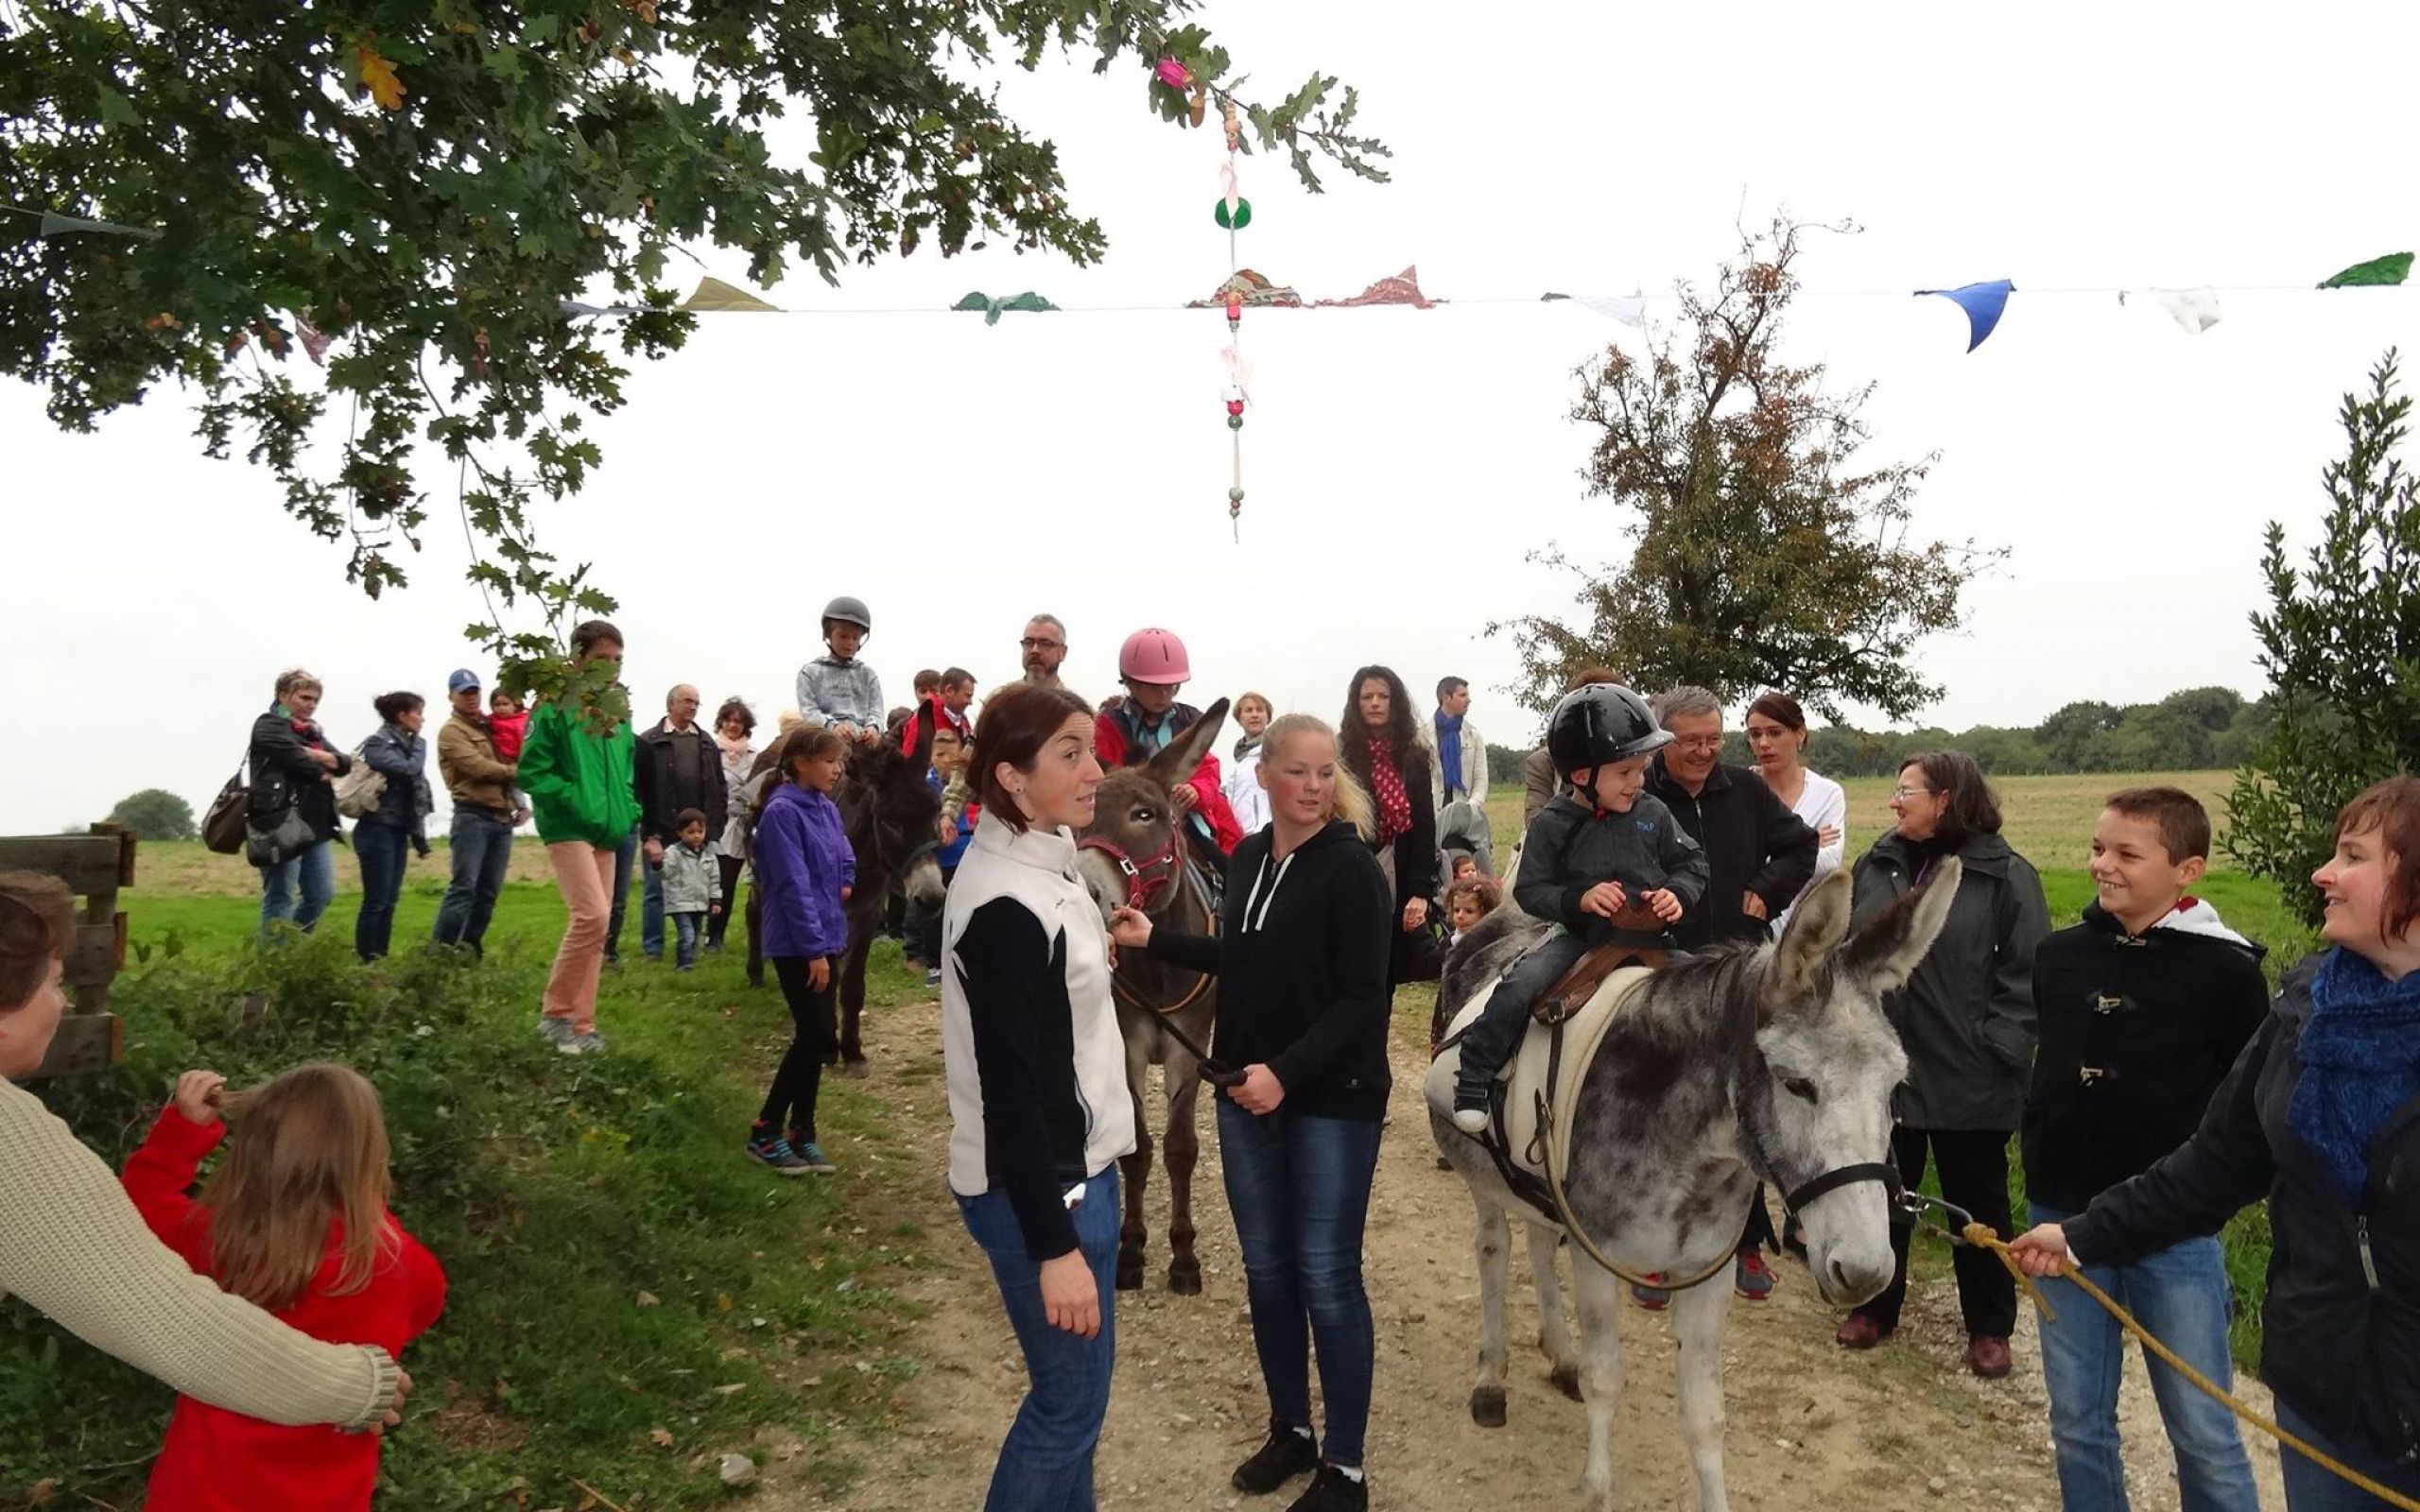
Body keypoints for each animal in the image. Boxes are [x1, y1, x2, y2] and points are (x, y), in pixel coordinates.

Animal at [1073, 698, 1229, 1294]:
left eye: (1146, 814)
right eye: (1079, 817)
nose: (1085, 893)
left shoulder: (1189, 1049)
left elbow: (1180, 1149)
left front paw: (1183, 1257)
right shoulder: (1129, 1047)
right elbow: (1136, 1149)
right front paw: (1132, 1251)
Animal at [1428, 861, 1961, 1512]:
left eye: (1895, 1086)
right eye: (1797, 1084)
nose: (1864, 1272)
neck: (1689, 1150)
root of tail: (1502, 916)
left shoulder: (1708, 1270)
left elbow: (1705, 1416)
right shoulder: (1598, 1258)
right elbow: (1605, 1380)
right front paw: (1597, 1489)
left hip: (1541, 1194)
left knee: (1536, 1244)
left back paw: (1558, 1353)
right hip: (1482, 1177)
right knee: (1494, 1252)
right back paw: (1490, 1379)